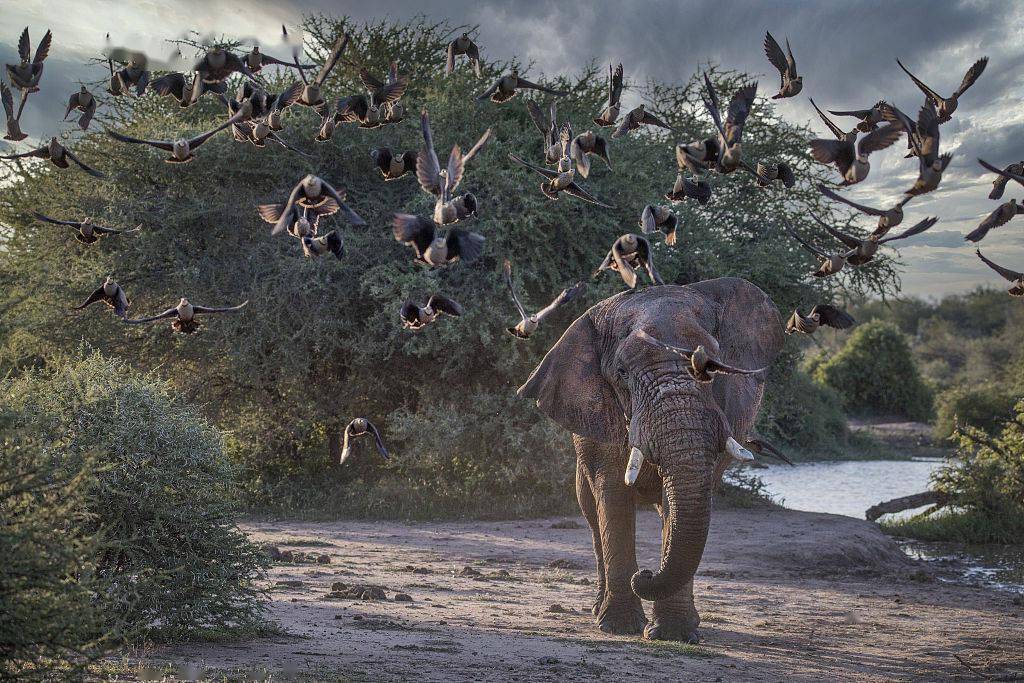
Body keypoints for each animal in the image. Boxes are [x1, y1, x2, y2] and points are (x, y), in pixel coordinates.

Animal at [518, 278, 783, 642]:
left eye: (714, 367)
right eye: (621, 372)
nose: (644, 574)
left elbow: (680, 507)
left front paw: (675, 633)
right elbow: (612, 496)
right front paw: (620, 627)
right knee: (591, 513)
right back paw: (598, 609)